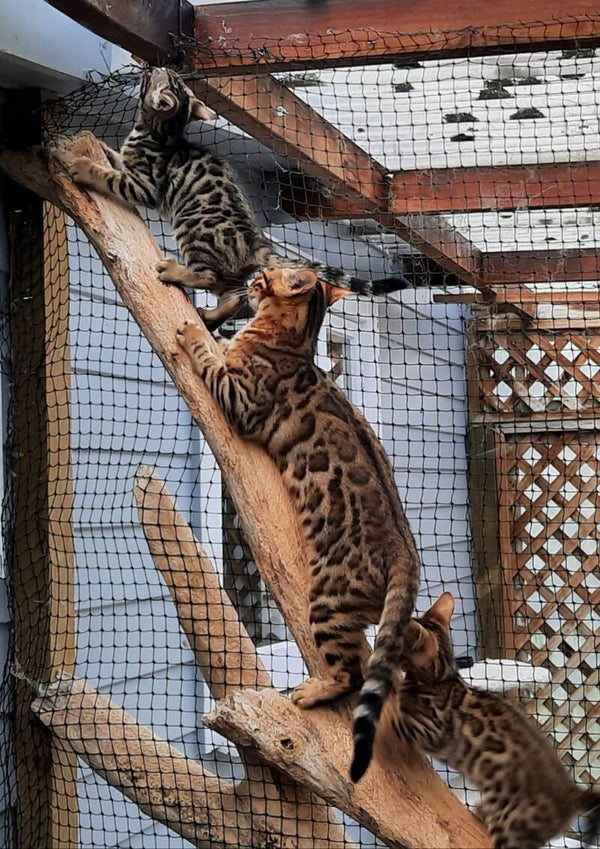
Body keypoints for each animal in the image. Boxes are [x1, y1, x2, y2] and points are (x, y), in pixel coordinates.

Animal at [59, 66, 412, 330]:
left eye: (160, 76)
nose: (155, 66)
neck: (162, 131)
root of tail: (256, 241)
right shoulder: (131, 167)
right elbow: (115, 158)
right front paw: (99, 147)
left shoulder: (143, 184)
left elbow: (110, 176)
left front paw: (82, 165)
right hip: (228, 271)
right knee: (236, 298)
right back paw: (209, 316)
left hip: (192, 230)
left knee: (207, 276)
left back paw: (175, 272)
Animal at [176, 266, 420, 768]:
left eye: (266, 276)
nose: (252, 274)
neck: (292, 343)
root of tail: (407, 555)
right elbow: (222, 348)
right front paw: (214, 327)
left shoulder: (240, 398)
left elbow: (212, 361)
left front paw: (195, 333)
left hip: (326, 601)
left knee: (351, 674)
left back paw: (311, 691)